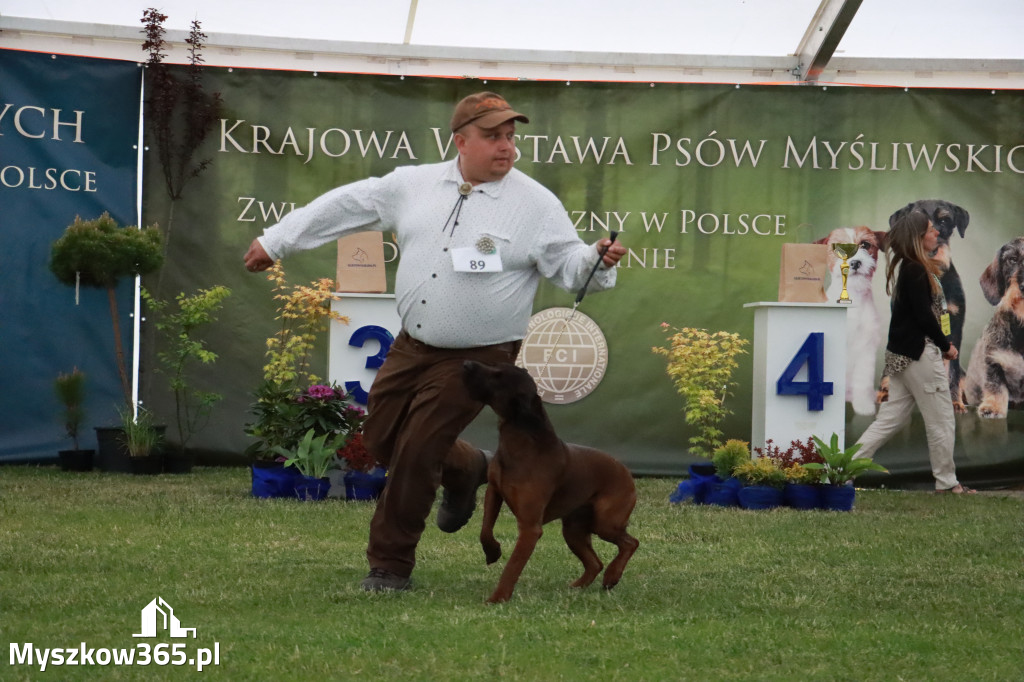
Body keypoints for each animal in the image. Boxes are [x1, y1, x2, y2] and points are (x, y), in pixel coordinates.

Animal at [462, 358, 634, 602]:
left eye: (499, 375)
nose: (466, 363)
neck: (521, 445)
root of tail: (625, 470)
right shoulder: (494, 491)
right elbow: (485, 530)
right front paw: (492, 551)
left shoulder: (530, 528)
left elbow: (513, 566)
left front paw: (498, 598)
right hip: (573, 530)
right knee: (595, 563)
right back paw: (579, 585)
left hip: (605, 523)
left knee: (630, 543)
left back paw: (612, 576)